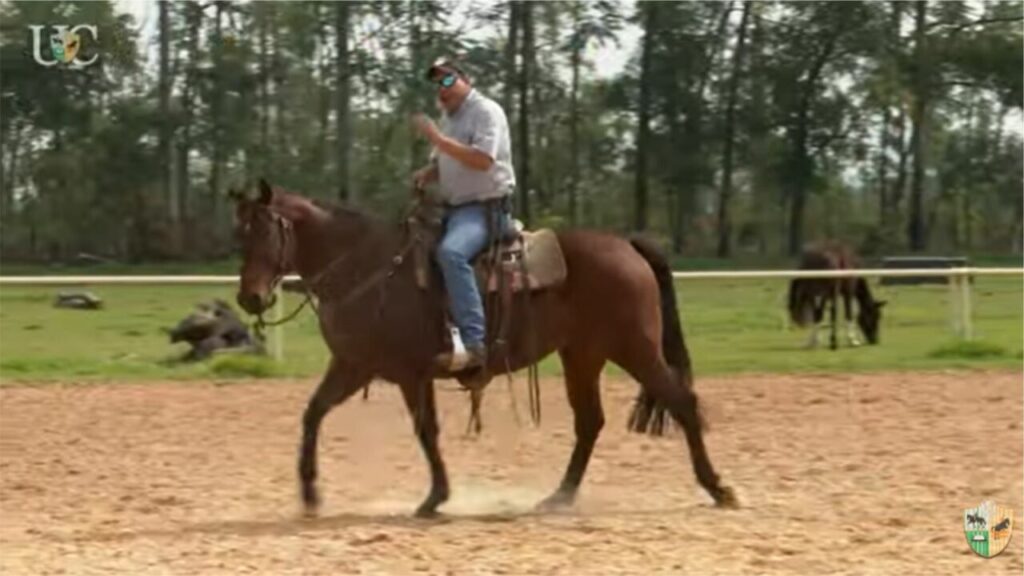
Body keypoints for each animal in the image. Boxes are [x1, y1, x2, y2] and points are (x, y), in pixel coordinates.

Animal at [231, 178, 736, 517]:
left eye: (265, 232)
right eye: (240, 235)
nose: (249, 298)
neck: (368, 267)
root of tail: (626, 246)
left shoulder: (409, 373)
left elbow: (425, 431)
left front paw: (435, 498)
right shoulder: (353, 365)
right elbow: (312, 414)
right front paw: (310, 493)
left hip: (634, 348)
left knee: (682, 402)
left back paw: (719, 489)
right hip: (583, 355)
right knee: (590, 422)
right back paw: (558, 497)